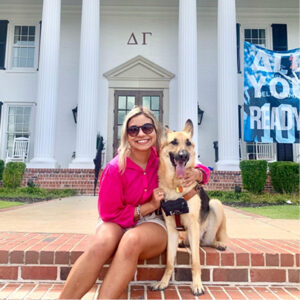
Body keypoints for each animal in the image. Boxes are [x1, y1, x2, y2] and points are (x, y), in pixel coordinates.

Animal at [152, 119, 227, 296]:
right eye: (174, 142)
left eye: (188, 143)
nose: (183, 155)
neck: (176, 185)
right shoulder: (171, 229)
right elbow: (169, 262)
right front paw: (163, 282)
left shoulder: (193, 226)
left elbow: (195, 262)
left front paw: (197, 285)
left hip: (215, 205)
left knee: (208, 241)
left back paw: (219, 243)